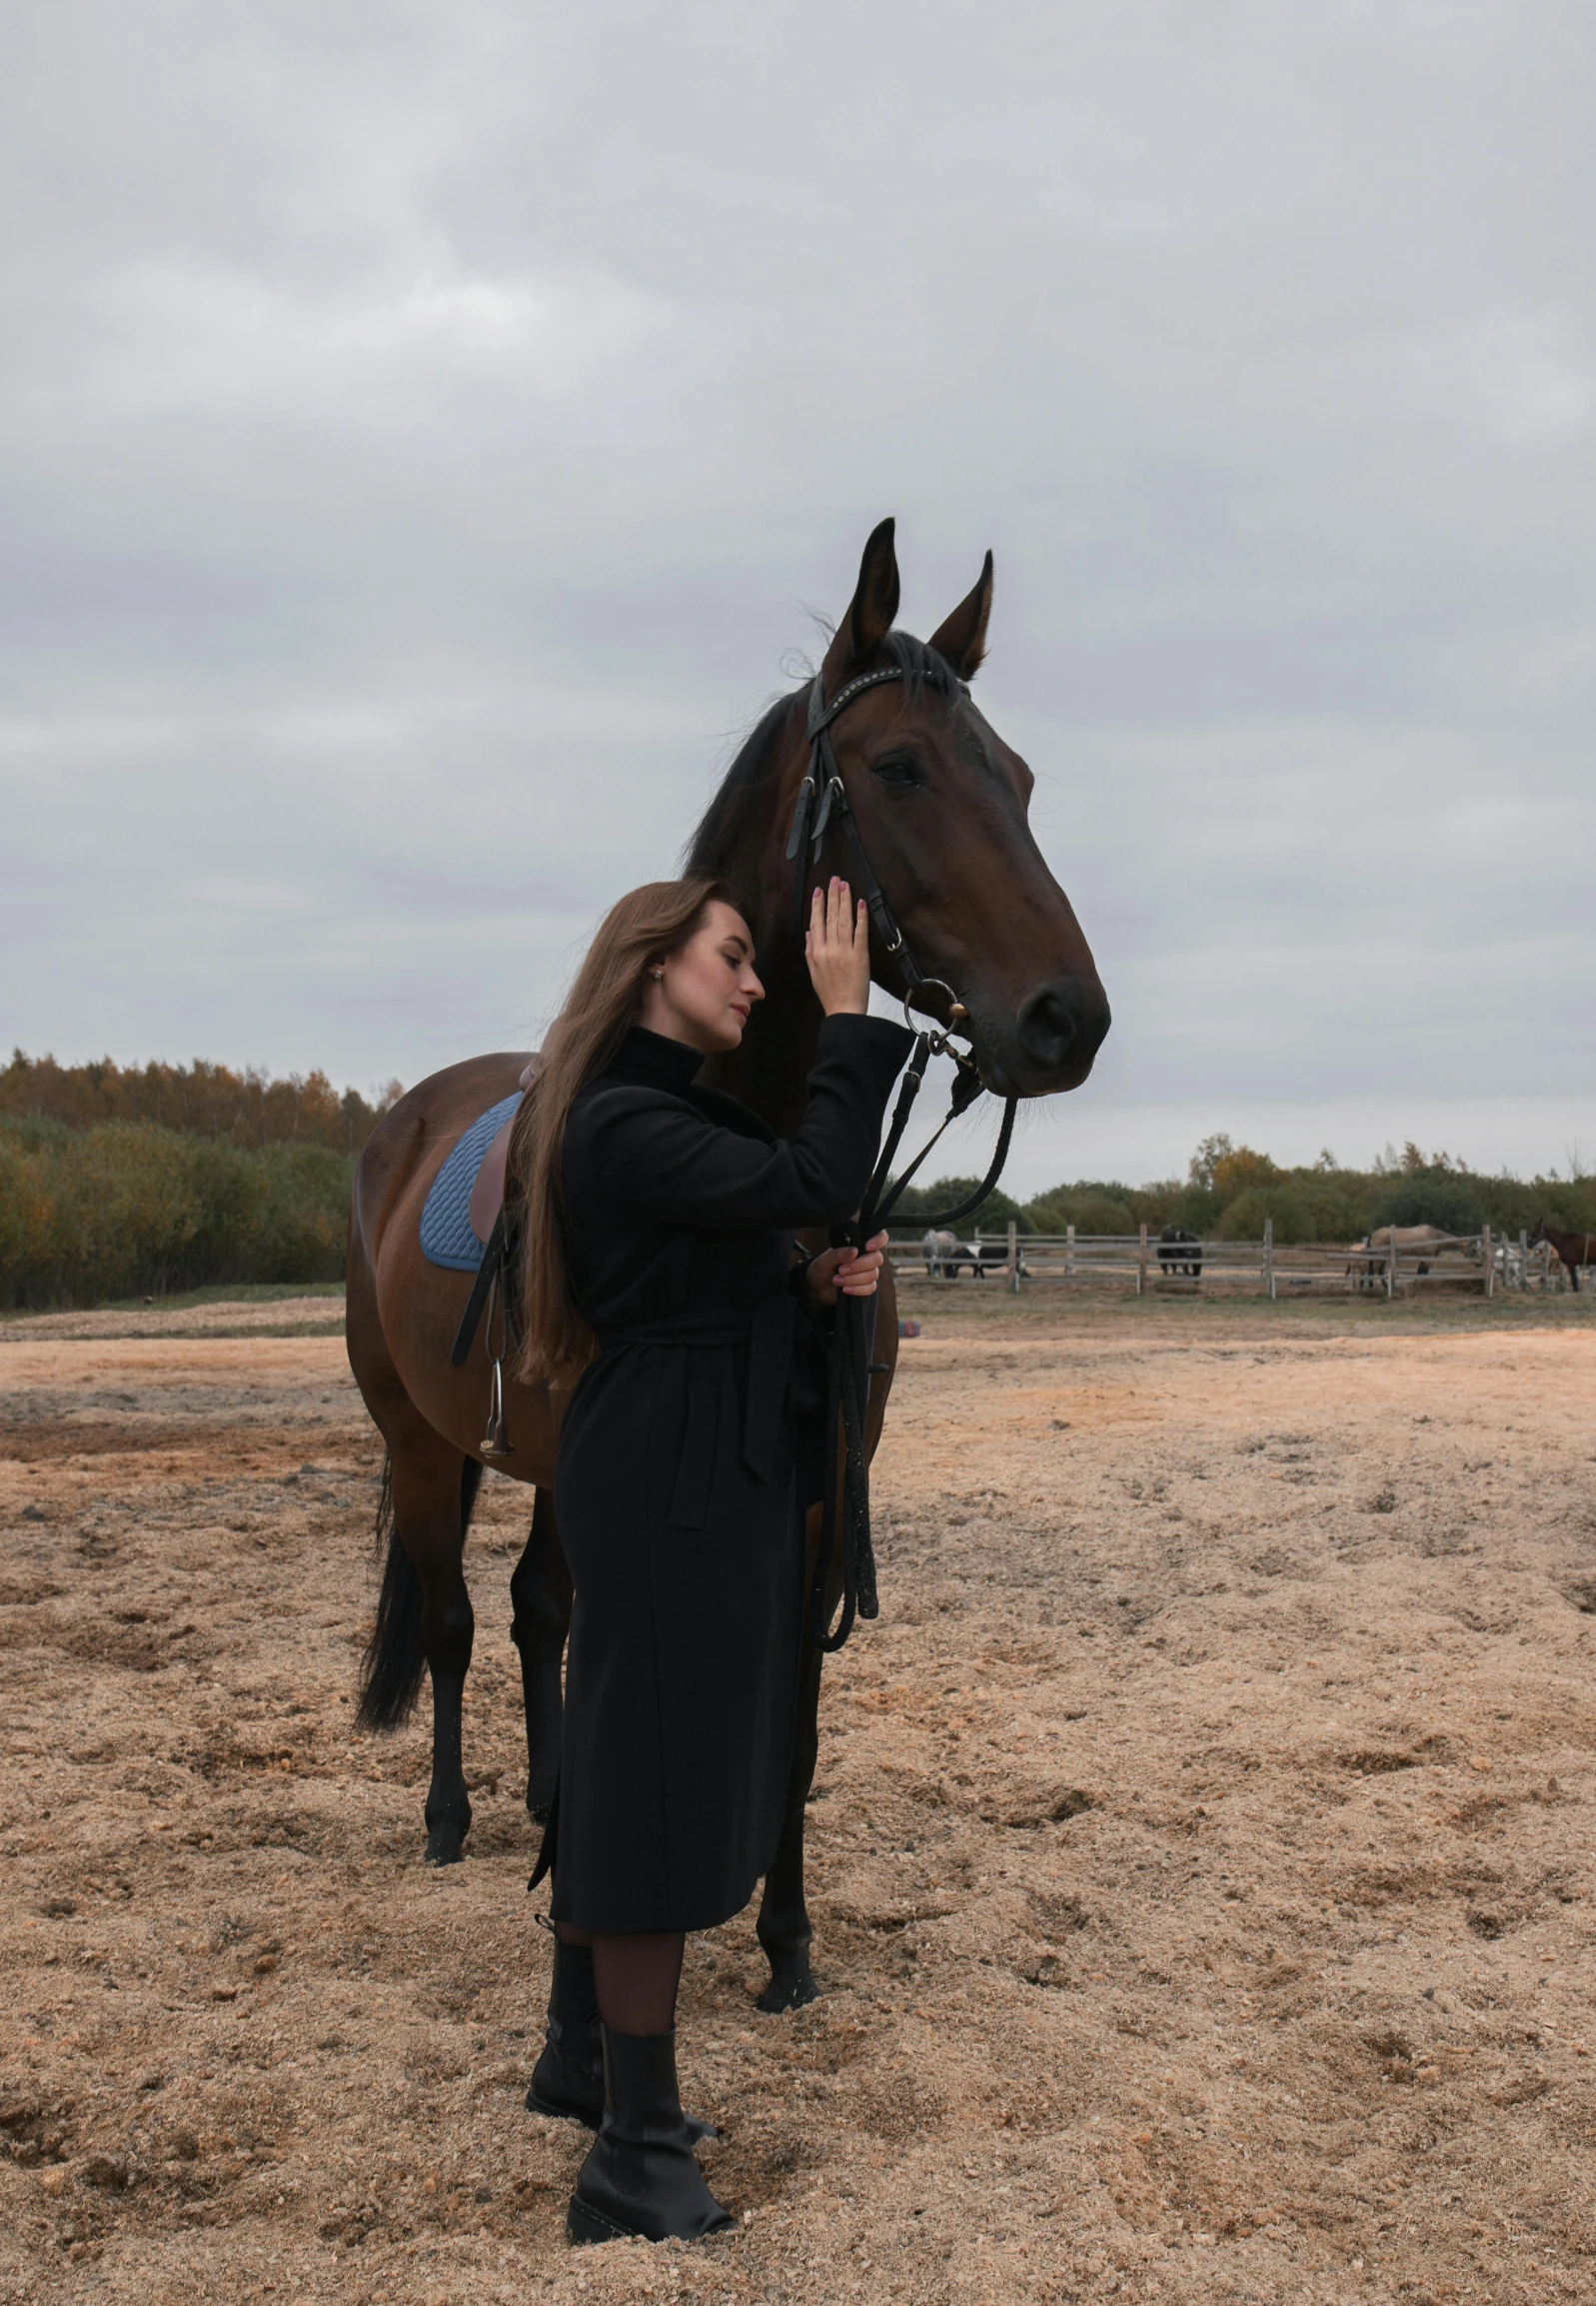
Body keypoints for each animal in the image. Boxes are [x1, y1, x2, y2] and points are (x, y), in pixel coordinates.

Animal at [341, 514, 1111, 2010]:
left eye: (1025, 779)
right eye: (900, 766)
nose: (1068, 1018)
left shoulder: (818, 1495)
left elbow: (792, 1724)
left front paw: (786, 1940)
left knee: (533, 1610)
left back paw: (544, 1803)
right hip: (419, 1436)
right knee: (456, 1617)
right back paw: (453, 1818)